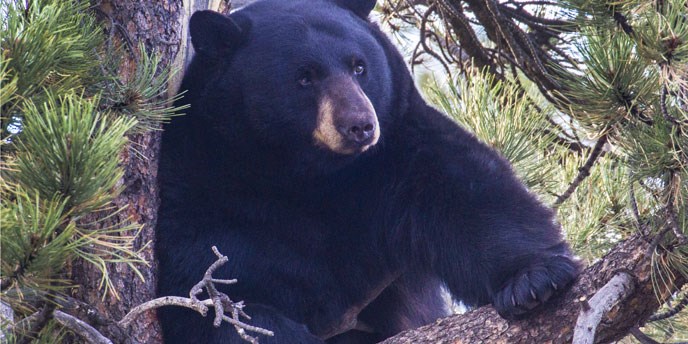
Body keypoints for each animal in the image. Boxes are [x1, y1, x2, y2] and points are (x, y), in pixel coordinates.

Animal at [156, 0, 580, 342]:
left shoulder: (394, 151)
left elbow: (467, 193)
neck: (307, 172)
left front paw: (533, 280)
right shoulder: (208, 177)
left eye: (359, 66)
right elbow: (218, 277)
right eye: (304, 76)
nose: (359, 125)